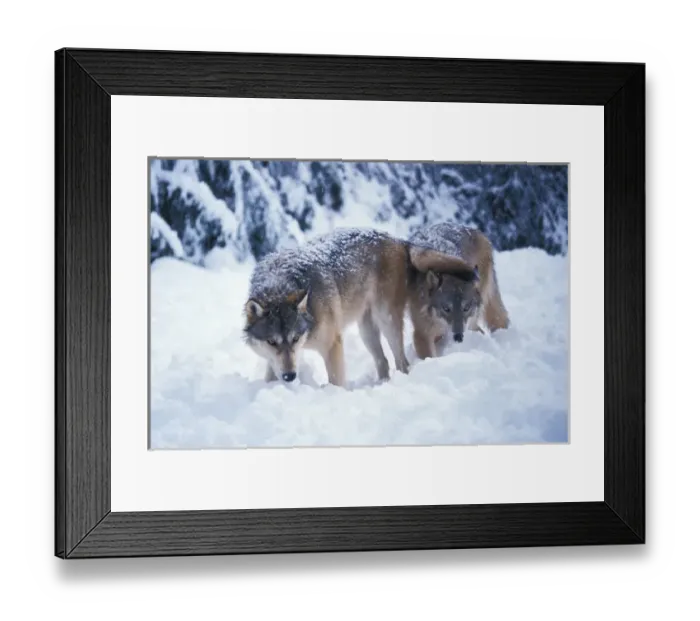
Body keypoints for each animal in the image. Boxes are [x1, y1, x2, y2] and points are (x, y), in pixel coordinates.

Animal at [243, 228, 477, 387]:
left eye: (295, 338)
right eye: (272, 342)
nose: (290, 376)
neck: (280, 285)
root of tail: (399, 241)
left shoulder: (332, 344)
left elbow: (336, 381)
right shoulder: (273, 360)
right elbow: (270, 375)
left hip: (387, 322)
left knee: (402, 363)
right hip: (366, 331)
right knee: (383, 361)